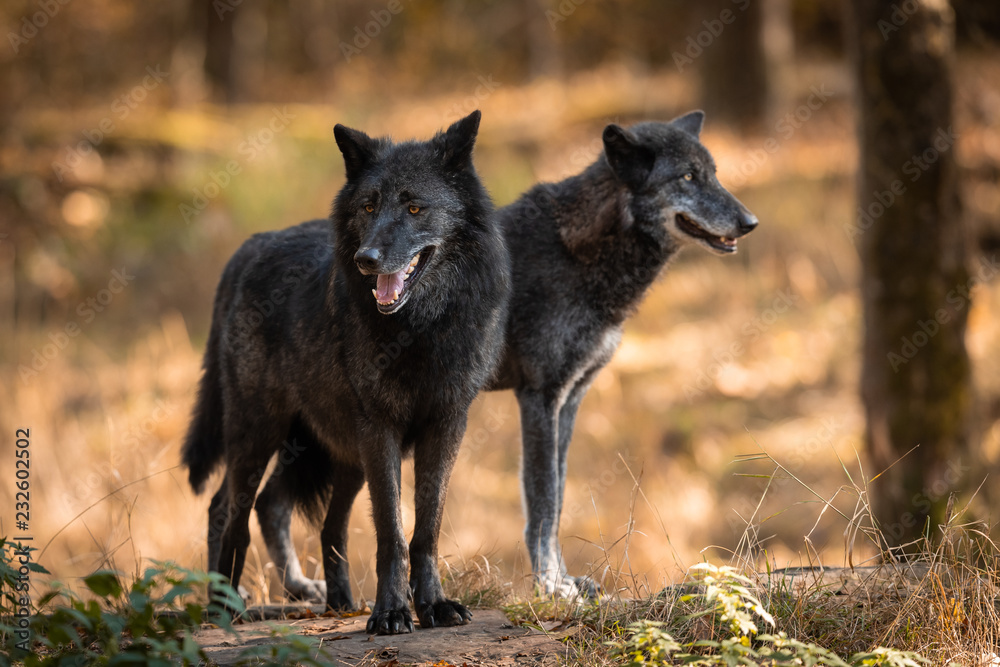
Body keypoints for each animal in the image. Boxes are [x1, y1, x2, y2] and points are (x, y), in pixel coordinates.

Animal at [181, 110, 510, 635]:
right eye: (368, 207)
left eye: (414, 208)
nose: (366, 259)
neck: (419, 330)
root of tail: (248, 247)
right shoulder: (380, 430)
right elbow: (391, 533)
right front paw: (392, 612)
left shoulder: (446, 424)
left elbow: (426, 528)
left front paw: (433, 605)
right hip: (261, 431)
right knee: (228, 510)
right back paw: (226, 607)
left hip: (338, 453)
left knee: (299, 515)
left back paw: (337, 600)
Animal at [240, 110, 757, 601]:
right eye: (687, 177)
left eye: (713, 174)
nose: (749, 222)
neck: (577, 251)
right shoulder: (539, 397)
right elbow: (543, 503)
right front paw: (552, 587)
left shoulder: (569, 400)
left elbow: (558, 497)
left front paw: (564, 581)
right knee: (264, 499)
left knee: (270, 500)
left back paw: (300, 587)